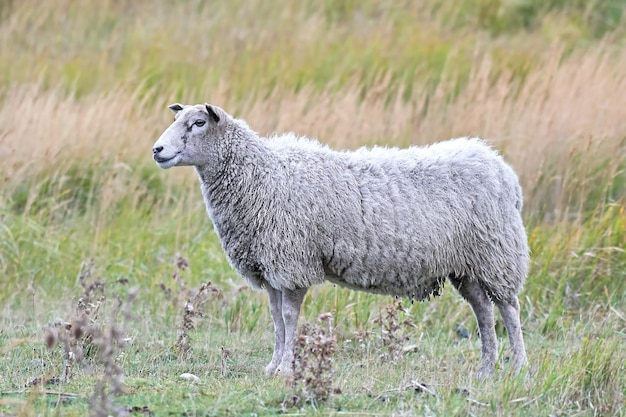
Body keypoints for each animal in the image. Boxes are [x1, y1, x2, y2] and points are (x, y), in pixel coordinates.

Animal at [150, 103, 528, 376]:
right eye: (179, 119)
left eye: (198, 123)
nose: (157, 149)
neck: (262, 175)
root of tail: (501, 167)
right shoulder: (270, 266)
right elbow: (275, 318)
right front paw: (272, 365)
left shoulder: (293, 262)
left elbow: (288, 316)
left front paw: (286, 368)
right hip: (468, 266)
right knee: (484, 312)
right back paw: (486, 369)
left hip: (498, 253)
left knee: (509, 308)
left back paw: (519, 367)